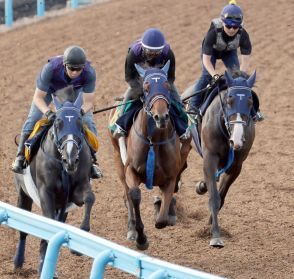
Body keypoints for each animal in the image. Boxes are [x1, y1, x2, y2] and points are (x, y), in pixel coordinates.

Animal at [13, 87, 95, 276]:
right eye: (58, 123)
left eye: (80, 123)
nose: (70, 159)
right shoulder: (45, 193)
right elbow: (48, 224)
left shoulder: (75, 192)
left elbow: (89, 197)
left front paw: (80, 241)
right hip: (23, 193)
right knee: (23, 230)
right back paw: (18, 262)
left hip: (62, 205)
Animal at [109, 62, 192, 250]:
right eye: (146, 88)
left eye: (167, 86)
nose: (160, 117)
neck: (154, 140)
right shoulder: (131, 169)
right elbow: (134, 195)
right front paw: (141, 238)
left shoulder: (170, 176)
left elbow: (161, 220)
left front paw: (165, 211)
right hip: (118, 159)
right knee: (127, 194)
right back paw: (131, 229)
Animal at [195, 71, 258, 248]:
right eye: (229, 100)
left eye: (250, 101)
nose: (237, 140)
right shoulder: (209, 158)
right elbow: (214, 198)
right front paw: (215, 236)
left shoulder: (236, 166)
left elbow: (221, 198)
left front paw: (210, 225)